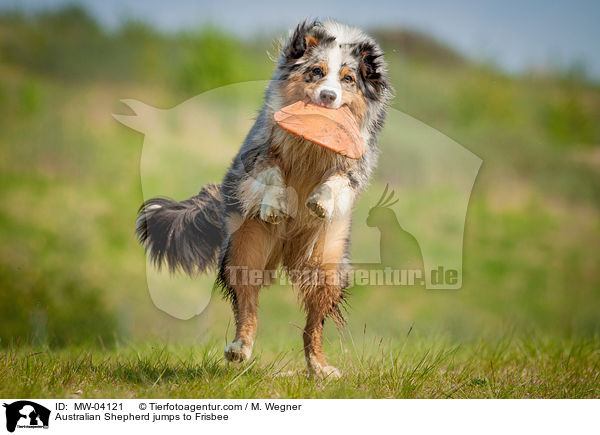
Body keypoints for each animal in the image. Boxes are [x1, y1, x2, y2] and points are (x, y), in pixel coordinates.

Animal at [135, 19, 394, 378]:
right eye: (316, 71)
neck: (310, 147)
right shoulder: (259, 150)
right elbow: (272, 174)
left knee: (312, 327)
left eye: (348, 79)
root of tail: (286, 250)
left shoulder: (356, 161)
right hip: (245, 250)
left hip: (327, 265)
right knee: (248, 308)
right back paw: (240, 349)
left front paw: (319, 202)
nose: (328, 97)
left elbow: (338, 180)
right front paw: (276, 205)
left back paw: (320, 368)